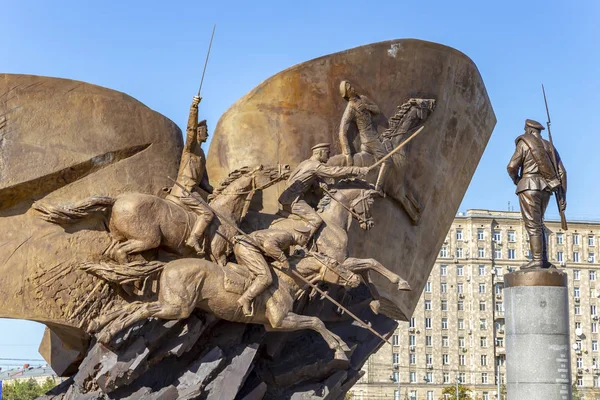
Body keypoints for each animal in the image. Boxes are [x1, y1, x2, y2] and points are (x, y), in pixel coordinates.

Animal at [32, 164, 290, 264]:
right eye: (266, 169)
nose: (286, 168)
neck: (225, 211)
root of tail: (118, 199)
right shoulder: (218, 255)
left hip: (117, 237)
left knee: (111, 253)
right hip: (148, 238)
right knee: (121, 253)